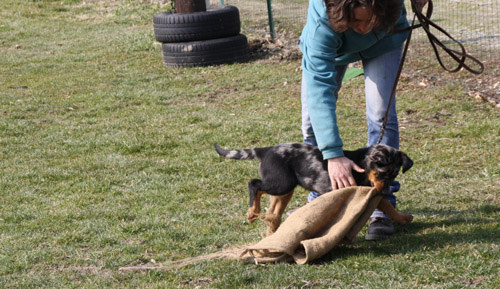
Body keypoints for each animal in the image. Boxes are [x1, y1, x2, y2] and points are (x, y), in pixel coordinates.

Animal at [215, 142, 414, 234]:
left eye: (394, 176)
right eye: (382, 174)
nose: (386, 191)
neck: (363, 165)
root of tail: (267, 149)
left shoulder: (372, 192)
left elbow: (387, 206)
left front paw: (402, 218)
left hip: (285, 188)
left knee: (273, 212)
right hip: (281, 183)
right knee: (253, 183)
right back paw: (252, 212)